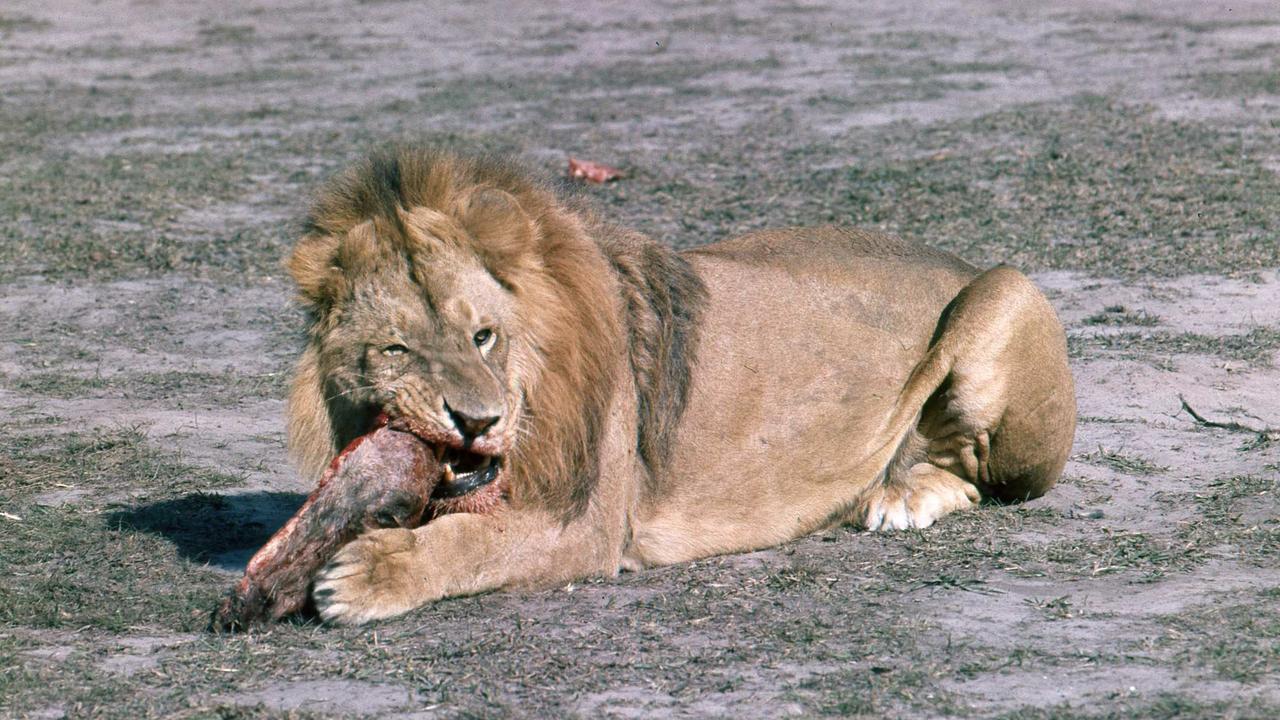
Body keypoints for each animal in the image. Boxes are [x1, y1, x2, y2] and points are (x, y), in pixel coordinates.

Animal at [282, 147, 1080, 622]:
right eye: (397, 350)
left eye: (484, 335)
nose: (476, 422)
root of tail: (956, 256)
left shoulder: (586, 525)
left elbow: (470, 541)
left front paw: (366, 574)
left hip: (1006, 290)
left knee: (986, 479)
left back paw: (901, 496)